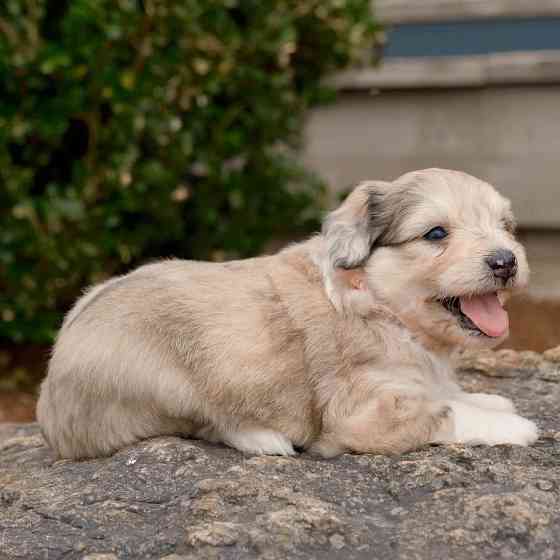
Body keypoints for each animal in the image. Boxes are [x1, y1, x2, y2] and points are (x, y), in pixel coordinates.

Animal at [38, 167, 540, 460]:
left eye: (507, 228)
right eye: (436, 234)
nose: (505, 261)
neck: (380, 306)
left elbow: (446, 393)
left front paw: (487, 398)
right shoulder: (362, 411)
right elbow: (443, 412)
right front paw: (513, 425)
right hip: (175, 385)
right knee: (208, 424)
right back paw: (265, 439)